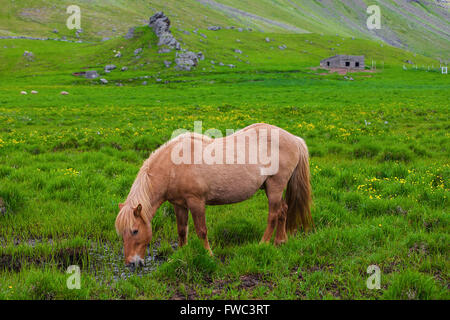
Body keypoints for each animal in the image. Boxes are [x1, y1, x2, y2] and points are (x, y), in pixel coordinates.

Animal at [114, 123, 312, 268]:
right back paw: (280, 241)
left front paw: (209, 255)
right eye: (121, 233)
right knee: (283, 210)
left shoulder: (196, 202)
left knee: (273, 215)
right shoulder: (179, 204)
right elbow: (181, 230)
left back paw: (263, 244)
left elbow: (201, 231)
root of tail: (294, 139)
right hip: (273, 188)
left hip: (275, 186)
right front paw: (180, 254)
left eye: (135, 230)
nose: (131, 263)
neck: (174, 166)